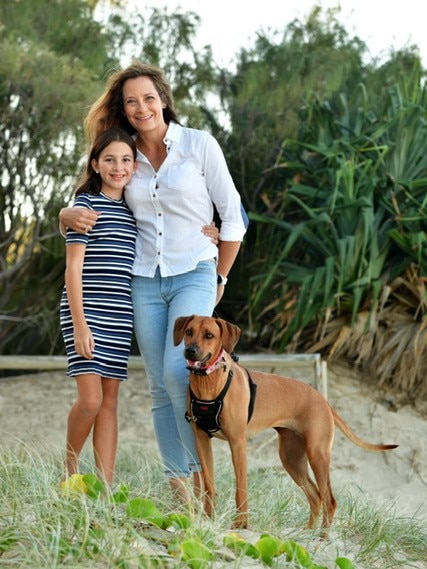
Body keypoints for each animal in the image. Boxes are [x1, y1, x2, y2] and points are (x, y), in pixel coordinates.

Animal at [172, 312, 400, 532]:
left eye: (209, 335)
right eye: (189, 332)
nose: (190, 351)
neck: (209, 384)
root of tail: (324, 401)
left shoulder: (237, 443)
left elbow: (241, 488)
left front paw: (241, 524)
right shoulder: (202, 440)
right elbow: (209, 485)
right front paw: (208, 519)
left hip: (317, 454)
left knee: (329, 500)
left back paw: (322, 538)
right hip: (292, 458)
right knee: (315, 496)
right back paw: (306, 534)